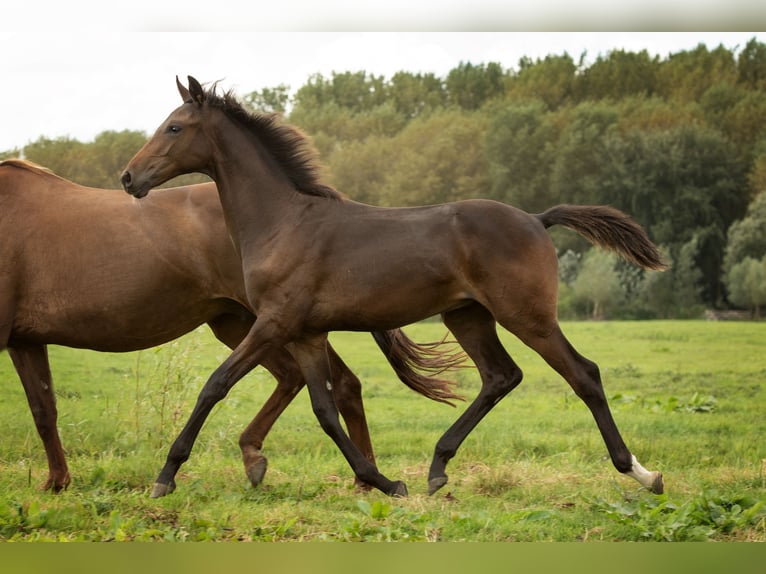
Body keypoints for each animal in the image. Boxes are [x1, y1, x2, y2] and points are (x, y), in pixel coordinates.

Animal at [0, 161, 464, 496]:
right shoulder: (25, 341)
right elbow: (44, 410)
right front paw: (56, 482)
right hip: (239, 324)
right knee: (301, 378)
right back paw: (270, 460)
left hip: (270, 324)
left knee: (341, 383)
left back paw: (365, 477)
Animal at [123, 76, 668, 500]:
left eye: (175, 126)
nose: (129, 178)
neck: (284, 222)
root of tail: (537, 218)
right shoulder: (306, 333)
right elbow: (324, 409)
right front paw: (382, 481)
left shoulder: (274, 322)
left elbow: (214, 385)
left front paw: (166, 476)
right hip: (467, 316)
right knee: (500, 376)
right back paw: (437, 467)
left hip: (527, 316)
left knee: (583, 374)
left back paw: (641, 473)